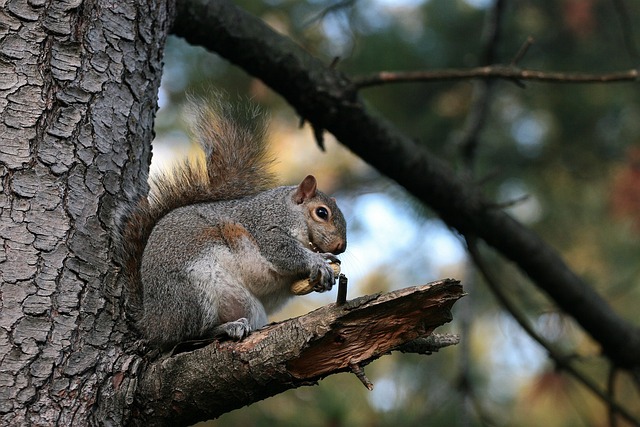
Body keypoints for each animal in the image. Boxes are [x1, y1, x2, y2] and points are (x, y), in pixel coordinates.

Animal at [112, 98, 348, 352]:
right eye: (321, 213)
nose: (340, 247)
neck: (288, 210)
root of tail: (152, 321)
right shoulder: (266, 227)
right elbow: (284, 252)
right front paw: (319, 260)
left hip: (247, 306)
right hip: (194, 294)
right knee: (186, 335)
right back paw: (225, 328)